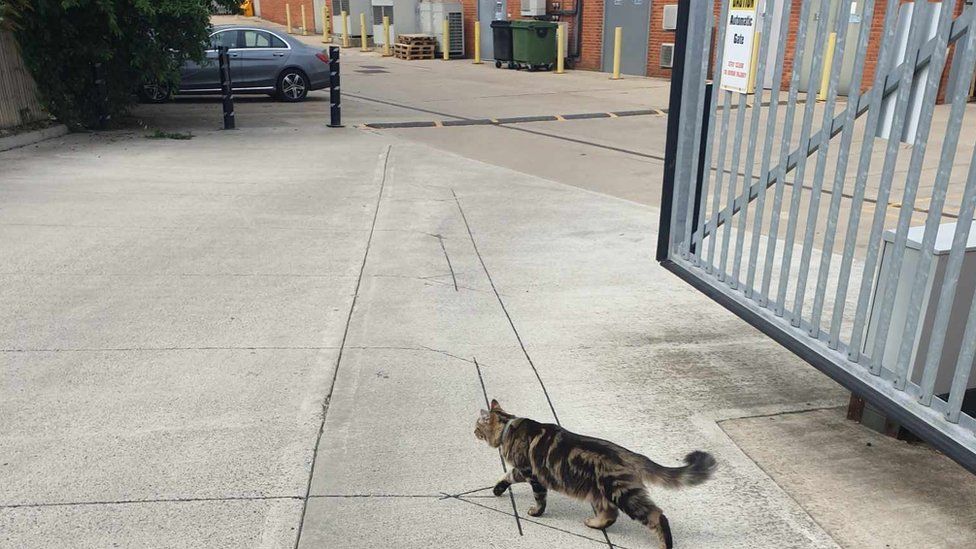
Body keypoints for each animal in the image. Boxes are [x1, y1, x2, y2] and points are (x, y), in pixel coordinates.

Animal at [474, 398, 716, 548]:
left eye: (477, 426)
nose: (473, 431)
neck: (509, 427)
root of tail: (629, 454)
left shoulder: (530, 473)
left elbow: (537, 497)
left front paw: (536, 512)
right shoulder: (522, 472)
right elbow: (506, 477)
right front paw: (497, 489)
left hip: (622, 494)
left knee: (657, 515)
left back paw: (665, 544)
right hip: (600, 494)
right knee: (610, 515)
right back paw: (593, 523)